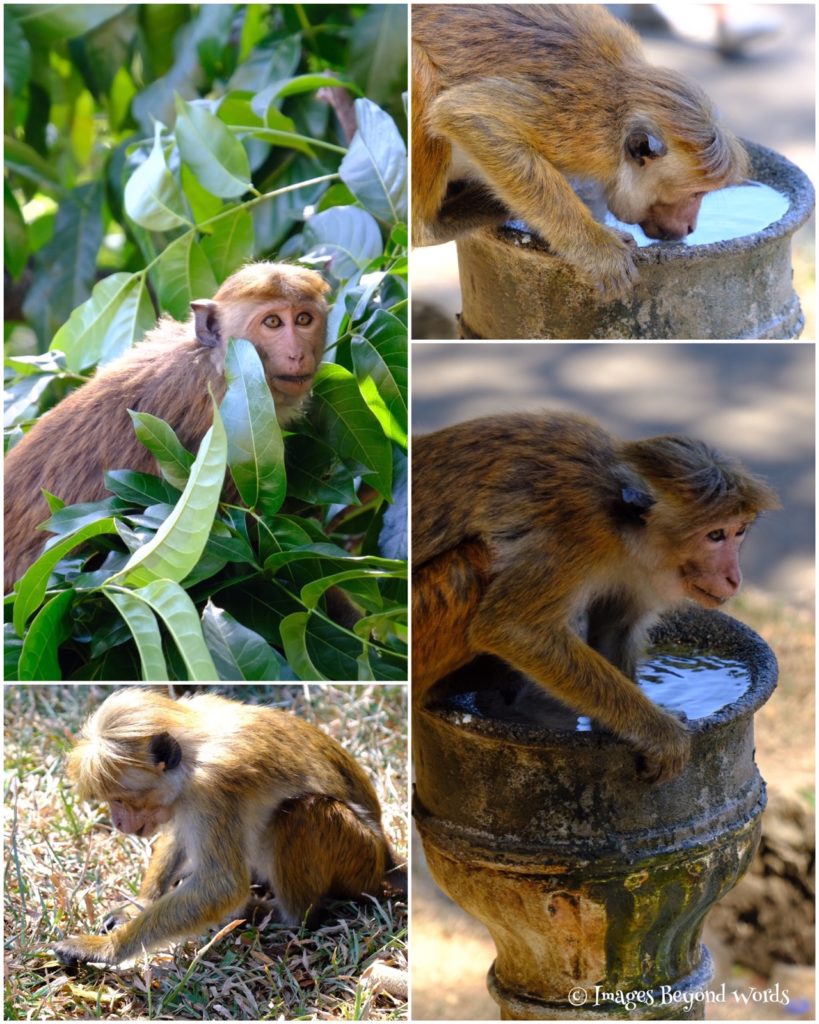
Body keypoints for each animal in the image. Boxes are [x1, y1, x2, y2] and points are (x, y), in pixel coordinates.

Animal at [52, 688, 405, 968]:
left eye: (120, 799)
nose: (118, 822)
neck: (193, 750)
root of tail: (385, 857)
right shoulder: (186, 799)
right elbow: (180, 839)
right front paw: (140, 903)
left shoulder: (211, 789)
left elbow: (222, 885)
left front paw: (106, 949)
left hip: (358, 857)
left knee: (301, 813)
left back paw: (275, 913)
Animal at [411, 5, 748, 298]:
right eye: (695, 194)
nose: (691, 226)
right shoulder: (584, 131)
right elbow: (466, 114)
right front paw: (598, 248)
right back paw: (432, 228)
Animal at [412, 412, 779, 782]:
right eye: (715, 535)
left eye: (738, 531)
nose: (734, 577)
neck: (620, 527)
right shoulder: (575, 532)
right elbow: (512, 627)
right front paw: (662, 731)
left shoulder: (635, 572)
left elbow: (615, 629)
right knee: (471, 567)